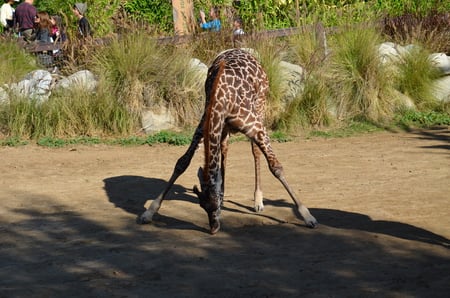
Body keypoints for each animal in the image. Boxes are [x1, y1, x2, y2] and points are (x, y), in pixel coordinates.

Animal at [139, 47, 318, 234]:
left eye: (213, 205)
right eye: (202, 205)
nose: (213, 228)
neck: (221, 99)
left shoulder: (256, 127)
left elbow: (276, 167)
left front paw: (307, 216)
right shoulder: (203, 126)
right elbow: (182, 163)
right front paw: (149, 212)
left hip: (260, 107)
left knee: (255, 151)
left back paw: (258, 201)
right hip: (225, 128)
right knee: (224, 149)